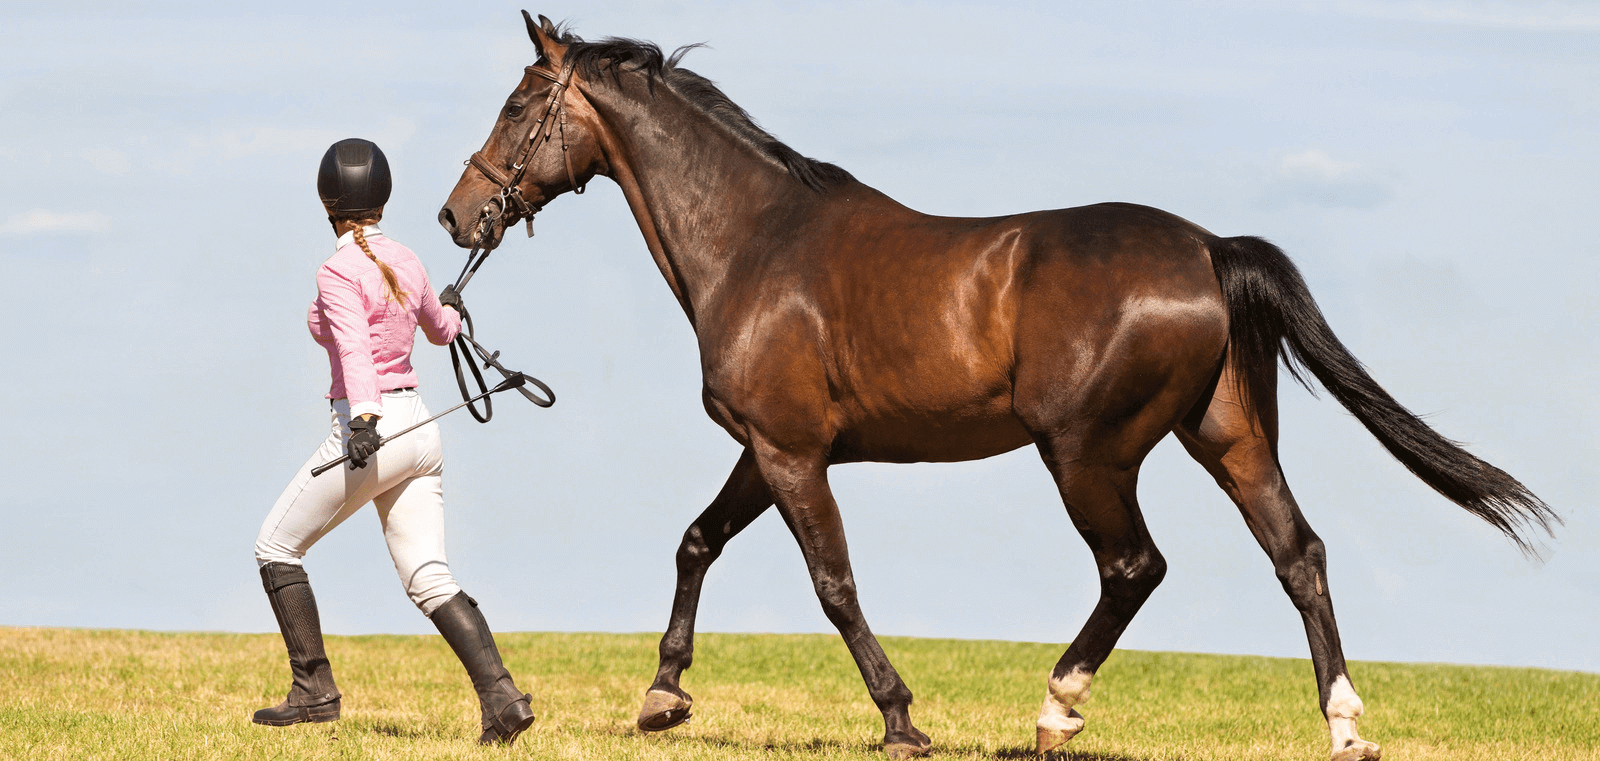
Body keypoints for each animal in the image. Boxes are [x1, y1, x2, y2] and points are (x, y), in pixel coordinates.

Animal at [435, 13, 1548, 761]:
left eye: (517, 107)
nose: (454, 216)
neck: (756, 243)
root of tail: (1206, 249)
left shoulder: (791, 452)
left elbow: (833, 584)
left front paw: (900, 717)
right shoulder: (768, 447)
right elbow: (697, 540)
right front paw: (664, 695)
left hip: (1087, 453)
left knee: (1136, 566)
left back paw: (1057, 705)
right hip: (1228, 439)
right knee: (1298, 554)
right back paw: (1345, 724)